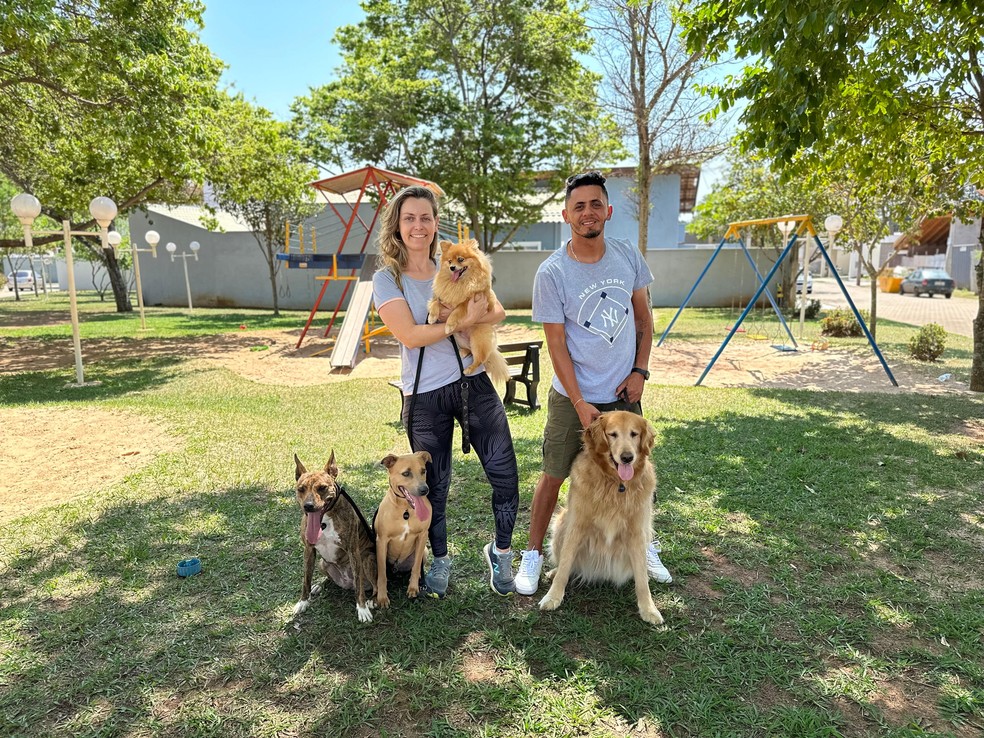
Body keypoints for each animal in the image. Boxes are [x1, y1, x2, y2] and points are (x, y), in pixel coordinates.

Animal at [292, 452, 376, 620]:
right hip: (322, 563)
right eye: (301, 489)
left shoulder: (353, 550)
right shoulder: (308, 550)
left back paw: (373, 599)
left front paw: (362, 608)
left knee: (375, 585)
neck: (324, 521)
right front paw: (303, 601)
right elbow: (306, 579)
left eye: (322, 488)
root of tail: (347, 584)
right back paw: (319, 586)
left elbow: (359, 585)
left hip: (367, 559)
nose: (308, 506)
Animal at [374, 452, 432, 608]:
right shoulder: (382, 540)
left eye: (423, 471)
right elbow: (382, 573)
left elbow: (417, 566)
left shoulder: (422, 536)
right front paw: (382, 597)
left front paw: (413, 588)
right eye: (406, 473)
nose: (425, 490)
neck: (405, 510)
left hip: (425, 551)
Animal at [426, 239, 512, 382]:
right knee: (469, 350)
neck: (461, 283)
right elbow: (434, 303)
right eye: (449, 261)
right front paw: (432, 317)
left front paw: (449, 324)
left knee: (479, 359)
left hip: (478, 339)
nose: (452, 267)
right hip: (459, 338)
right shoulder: (441, 297)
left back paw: (468, 369)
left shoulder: (471, 301)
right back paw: (462, 352)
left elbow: (457, 310)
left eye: (460, 259)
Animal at [540, 412, 664, 624]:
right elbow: (565, 564)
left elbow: (641, 579)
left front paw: (649, 609)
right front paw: (553, 596)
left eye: (634, 434)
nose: (627, 457)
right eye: (612, 434)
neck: (616, 484)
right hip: (561, 522)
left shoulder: (637, 532)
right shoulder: (576, 525)